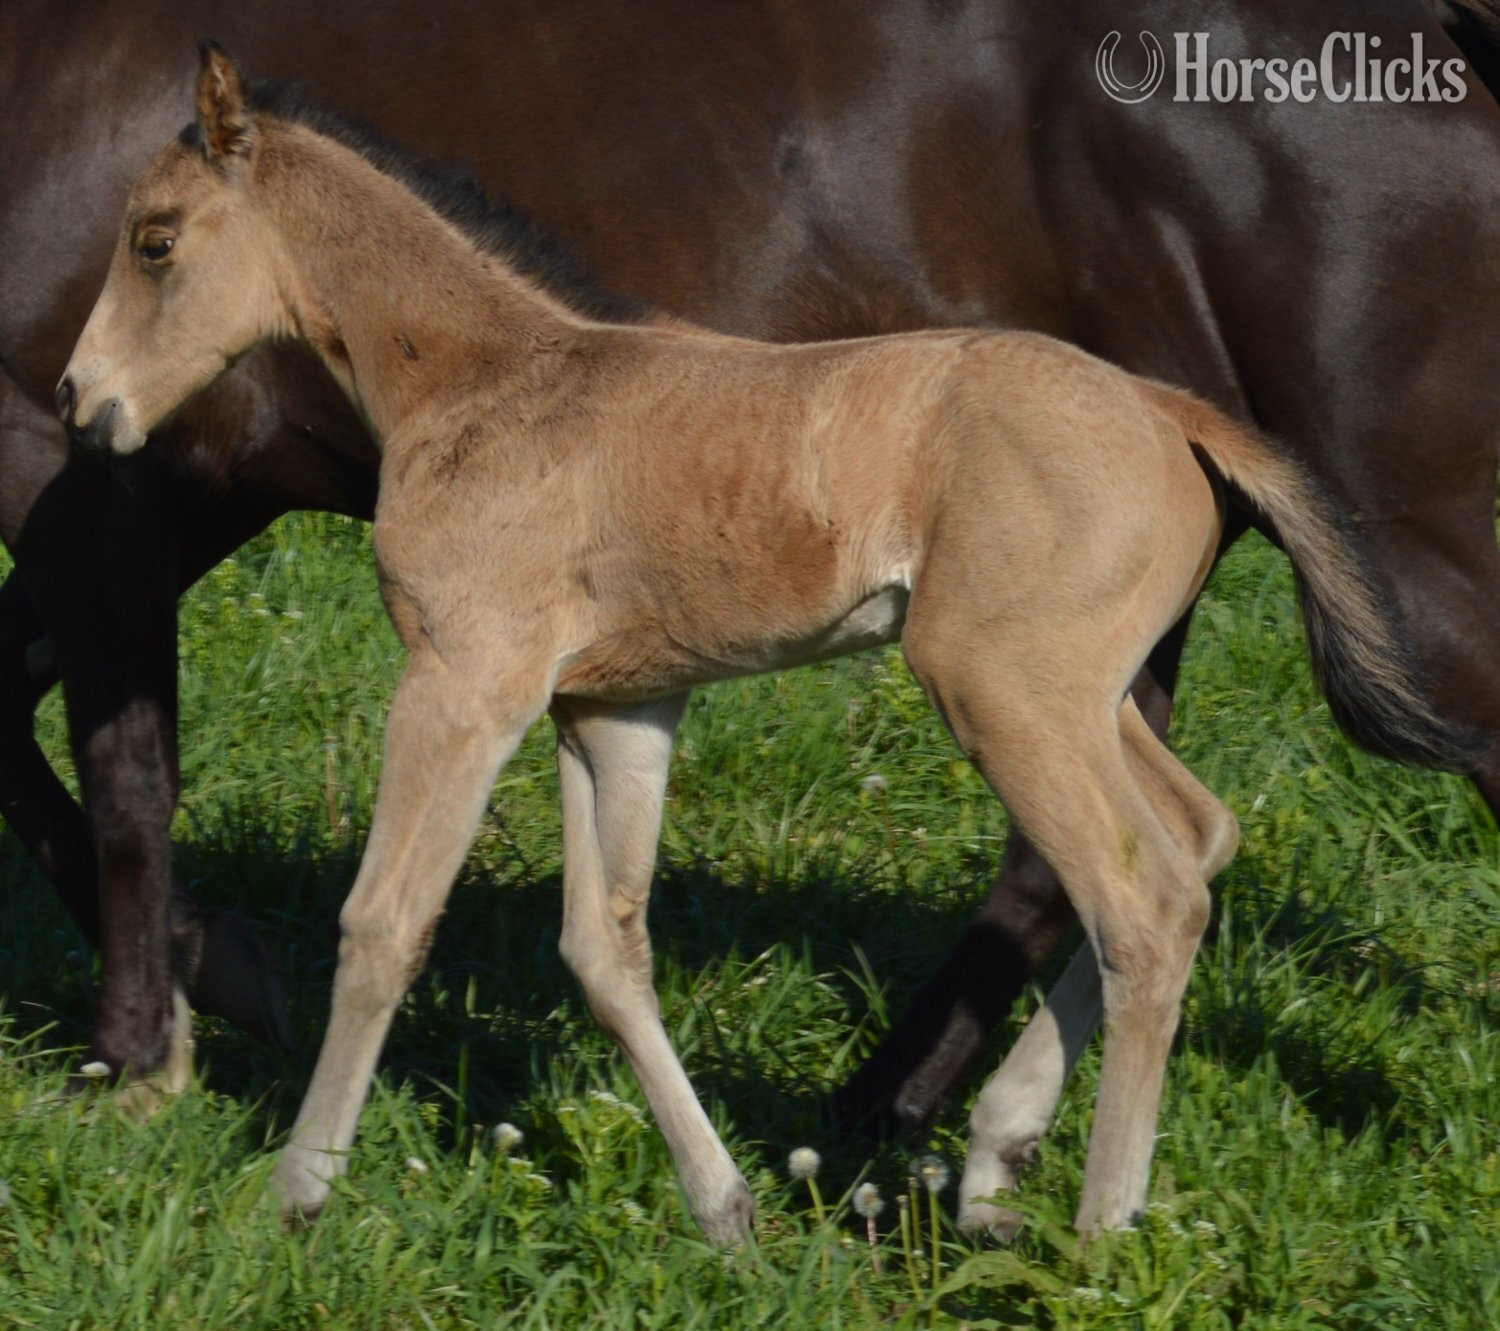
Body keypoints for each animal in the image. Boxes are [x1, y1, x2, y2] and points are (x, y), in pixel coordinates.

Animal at [59, 42, 1475, 1242]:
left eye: (156, 241)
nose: (84, 399)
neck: (487, 381)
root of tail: (1173, 408)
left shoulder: (466, 680)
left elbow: (385, 921)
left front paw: (298, 1189)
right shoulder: (613, 708)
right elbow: (604, 948)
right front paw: (726, 1206)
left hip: (1002, 691)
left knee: (1145, 899)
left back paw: (1096, 1224)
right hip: (1091, 694)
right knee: (1198, 836)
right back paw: (997, 1153)